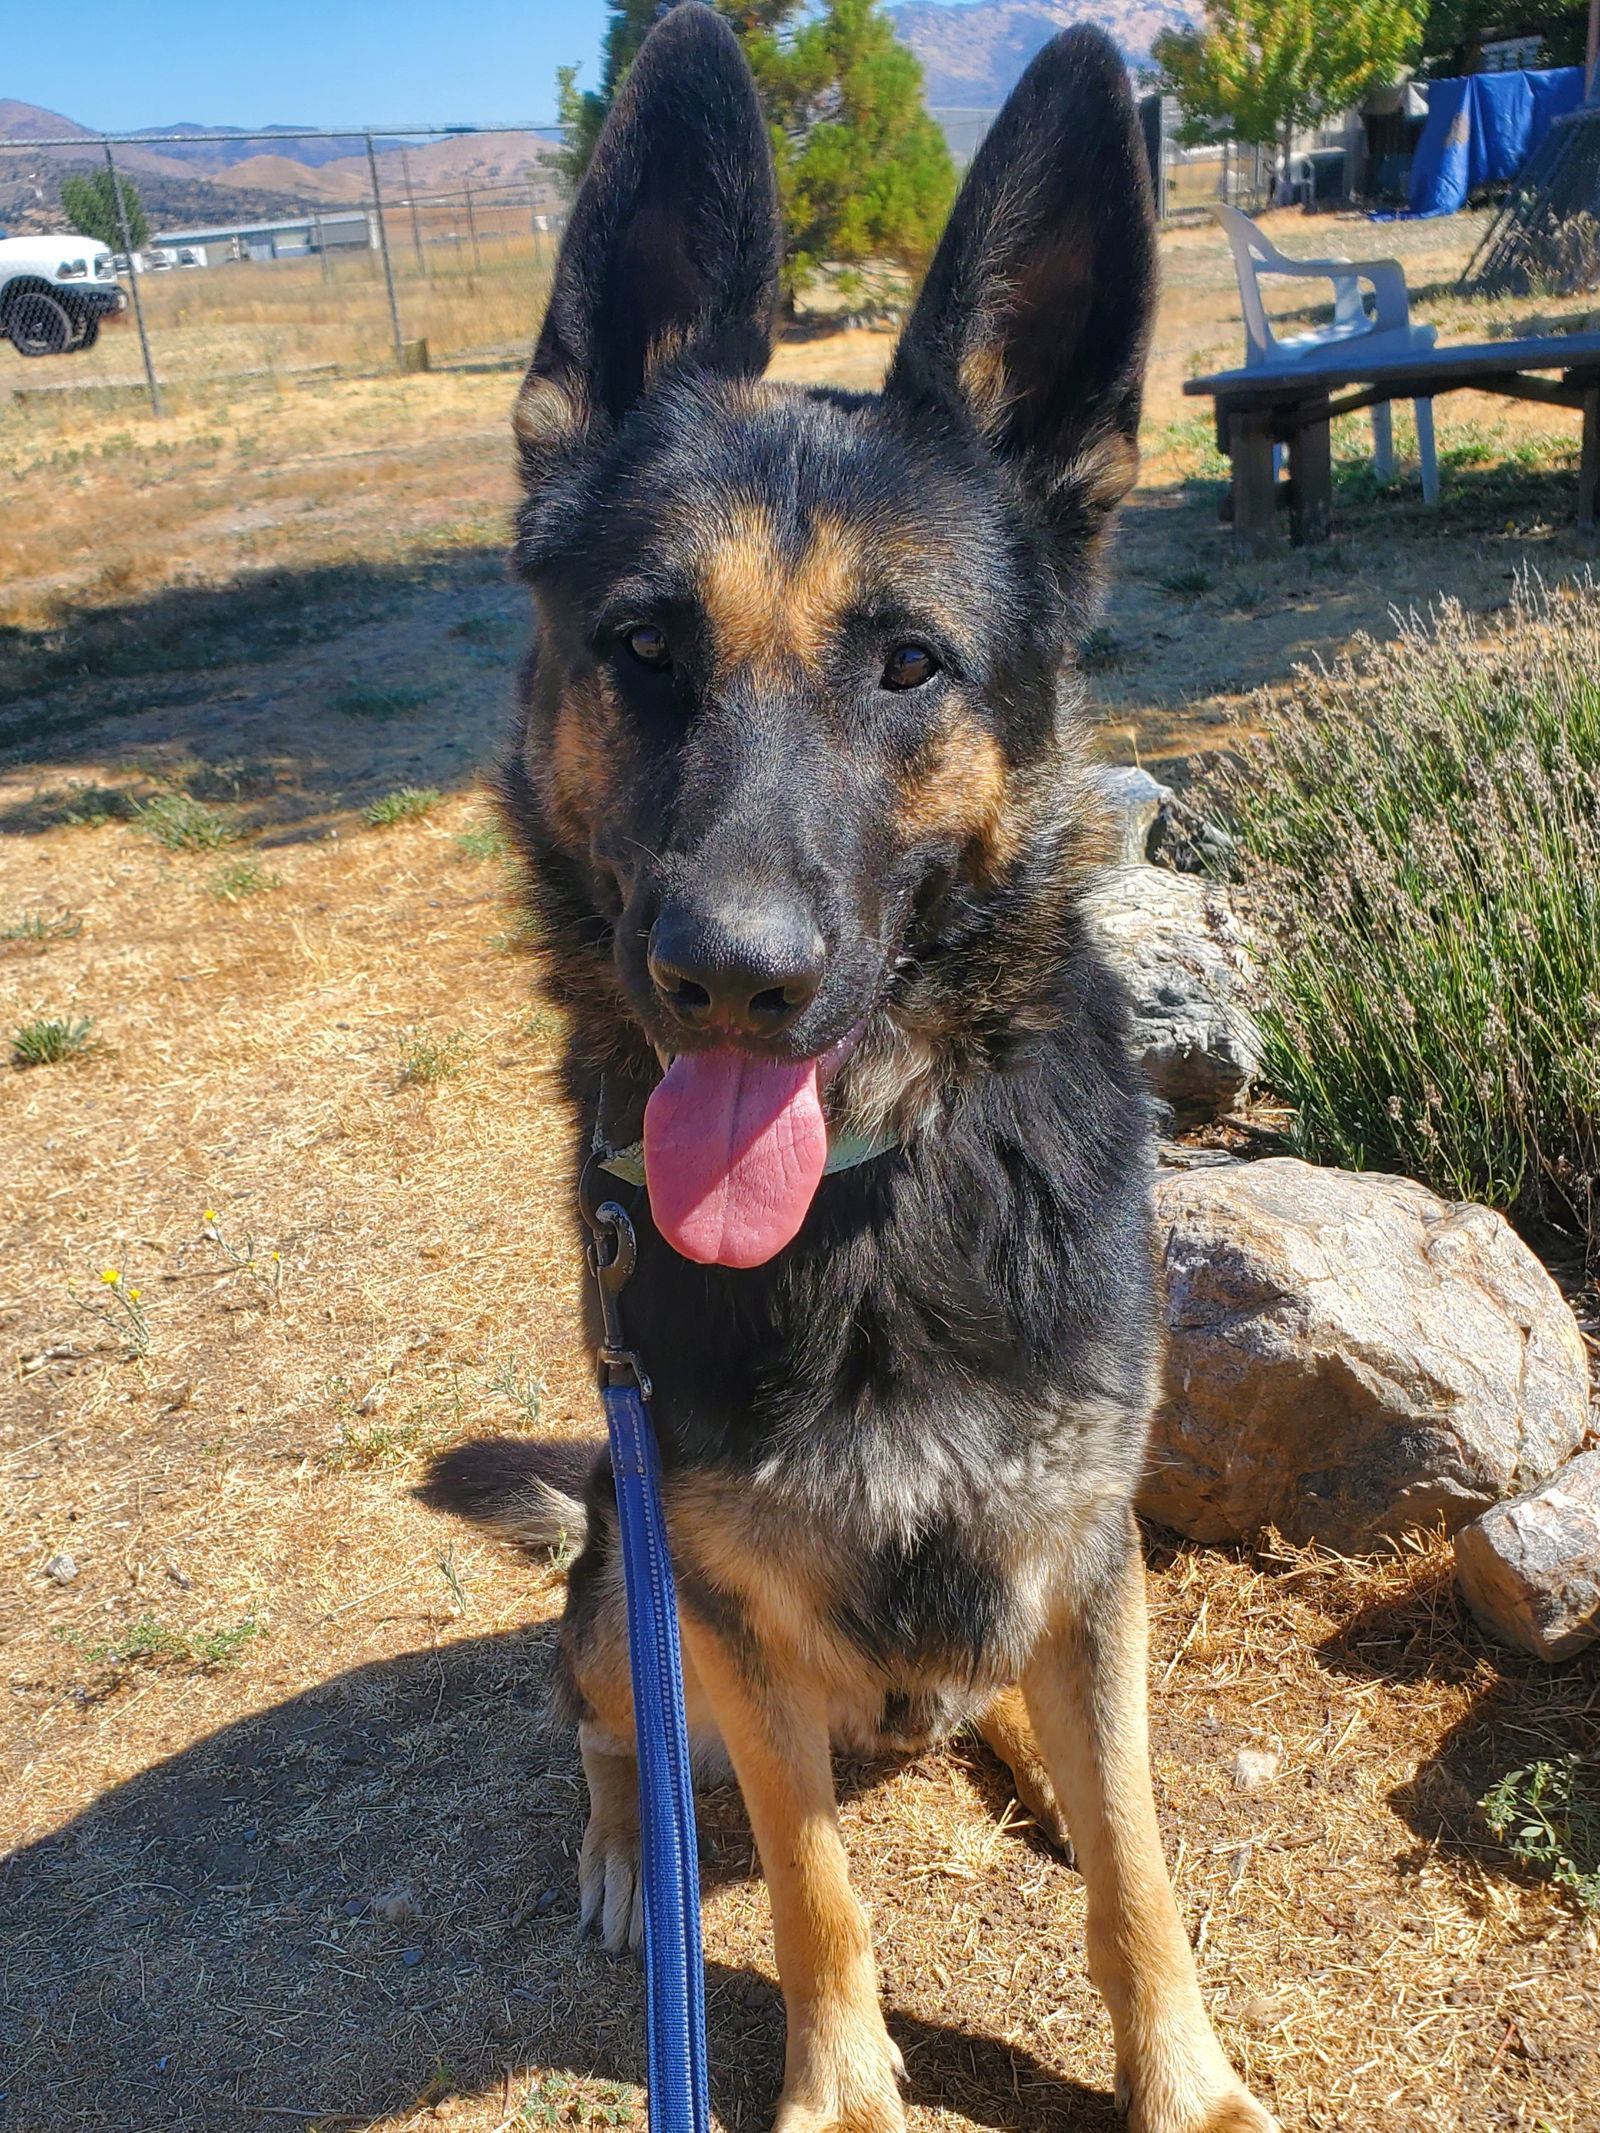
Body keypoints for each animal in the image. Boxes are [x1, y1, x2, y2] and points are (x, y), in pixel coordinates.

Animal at [422, 8, 1280, 2124]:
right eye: (644, 644)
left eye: (910, 664)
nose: (730, 979)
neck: (875, 1200)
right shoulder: (721, 1606)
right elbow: (814, 1882)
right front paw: (837, 2084)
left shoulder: (1085, 1543)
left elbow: (1138, 1858)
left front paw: (1181, 2069)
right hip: (624, 1585)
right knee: (607, 1729)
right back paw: (626, 1851)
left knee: (1024, 1712)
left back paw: (1020, 1753)